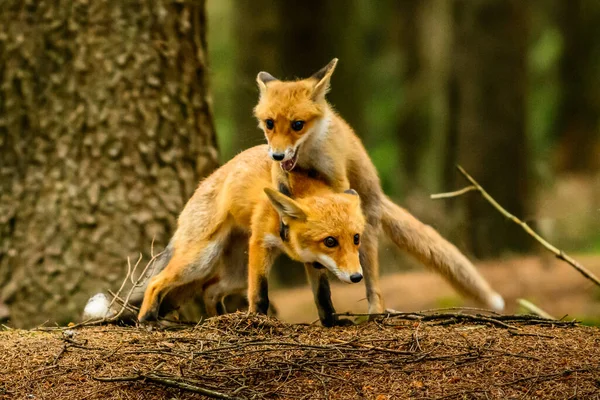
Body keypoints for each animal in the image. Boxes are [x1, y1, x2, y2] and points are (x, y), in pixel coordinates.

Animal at [137, 145, 368, 326]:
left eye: (356, 238)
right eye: (330, 241)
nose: (357, 277)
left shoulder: (314, 260)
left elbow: (323, 297)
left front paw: (332, 322)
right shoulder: (260, 242)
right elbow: (259, 294)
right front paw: (257, 320)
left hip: (236, 275)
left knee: (209, 289)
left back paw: (218, 320)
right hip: (201, 261)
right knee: (156, 281)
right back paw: (148, 319)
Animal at [253, 57, 506, 314]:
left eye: (298, 125)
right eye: (269, 123)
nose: (277, 154)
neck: (307, 156)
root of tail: (379, 195)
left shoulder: (337, 176)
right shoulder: (281, 171)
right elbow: (282, 192)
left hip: (366, 241)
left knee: (373, 283)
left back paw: (376, 310)